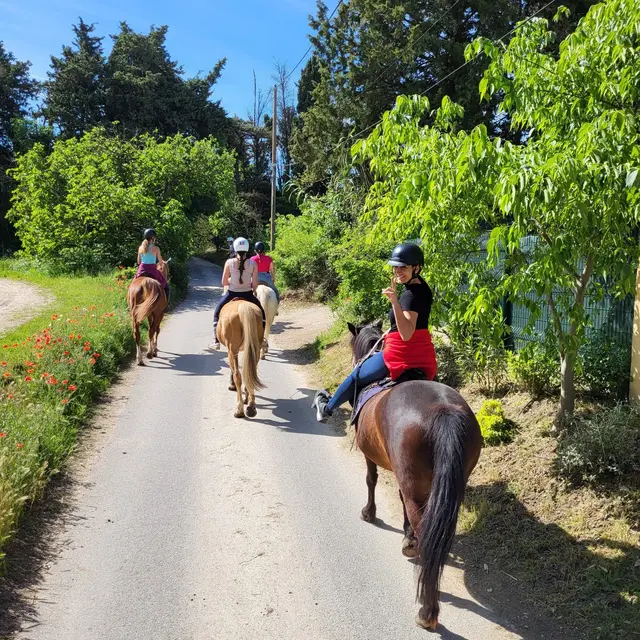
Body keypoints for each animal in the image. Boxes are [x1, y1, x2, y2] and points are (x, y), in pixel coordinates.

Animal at [347, 322, 482, 631]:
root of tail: (442, 411)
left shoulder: (370, 456)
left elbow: (371, 481)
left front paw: (369, 513)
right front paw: (407, 537)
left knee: (427, 535)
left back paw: (427, 610)